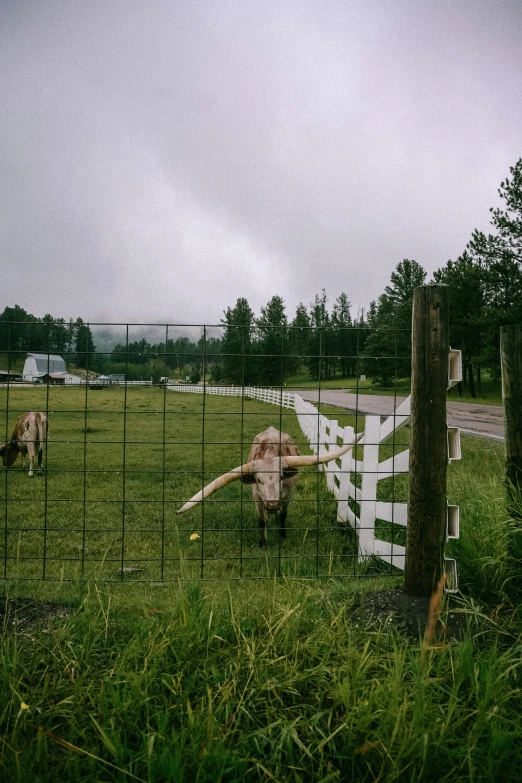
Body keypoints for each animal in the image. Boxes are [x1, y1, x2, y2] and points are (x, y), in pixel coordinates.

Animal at [178, 426, 354, 548]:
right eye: (259, 480)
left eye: (281, 477)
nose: (272, 504)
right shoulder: (256, 495)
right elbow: (261, 519)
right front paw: (262, 544)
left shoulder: (288, 493)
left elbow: (283, 515)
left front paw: (282, 535)